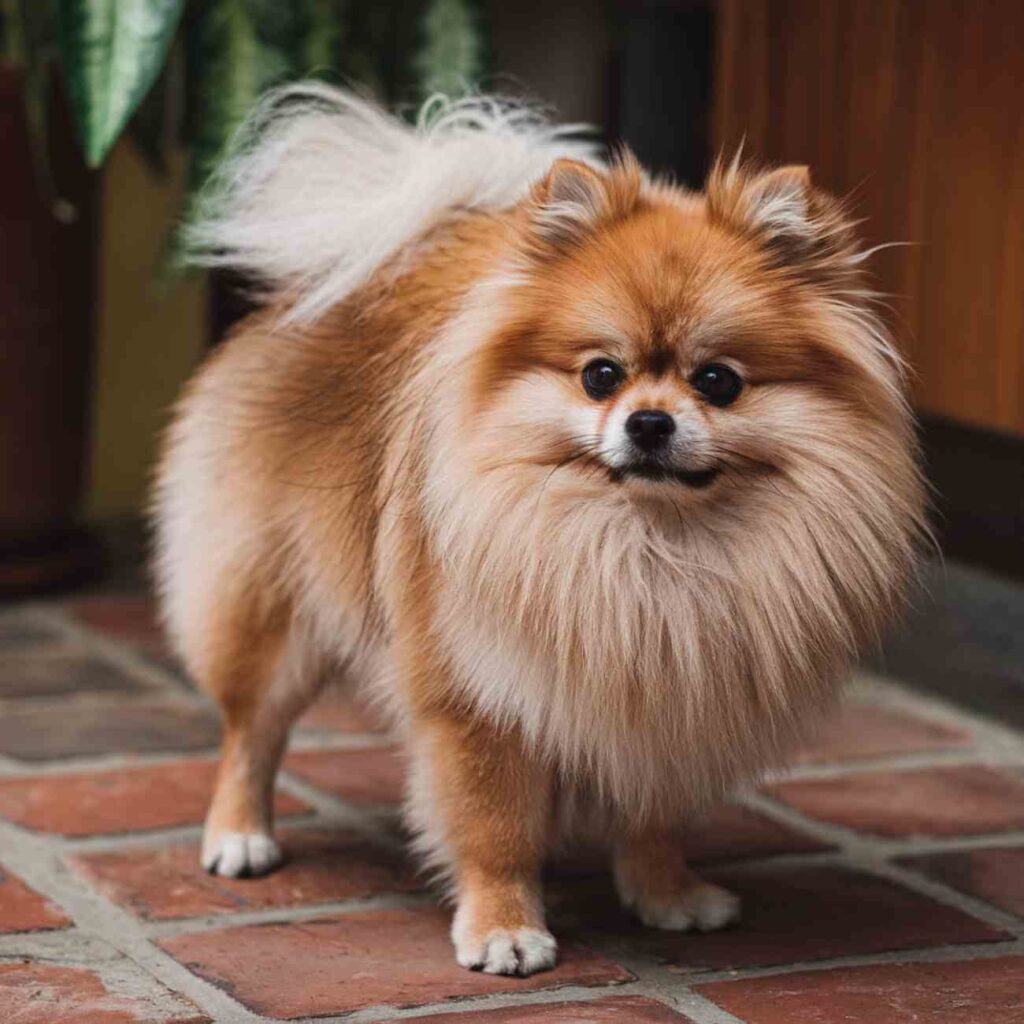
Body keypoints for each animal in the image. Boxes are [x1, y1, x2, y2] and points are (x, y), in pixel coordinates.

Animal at [153, 86, 929, 974]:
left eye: (717, 382)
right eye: (600, 375)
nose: (650, 422)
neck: (649, 550)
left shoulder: (671, 697)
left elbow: (655, 817)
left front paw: (667, 893)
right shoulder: (476, 696)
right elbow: (493, 826)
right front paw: (503, 927)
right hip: (272, 612)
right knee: (251, 730)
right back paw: (239, 836)